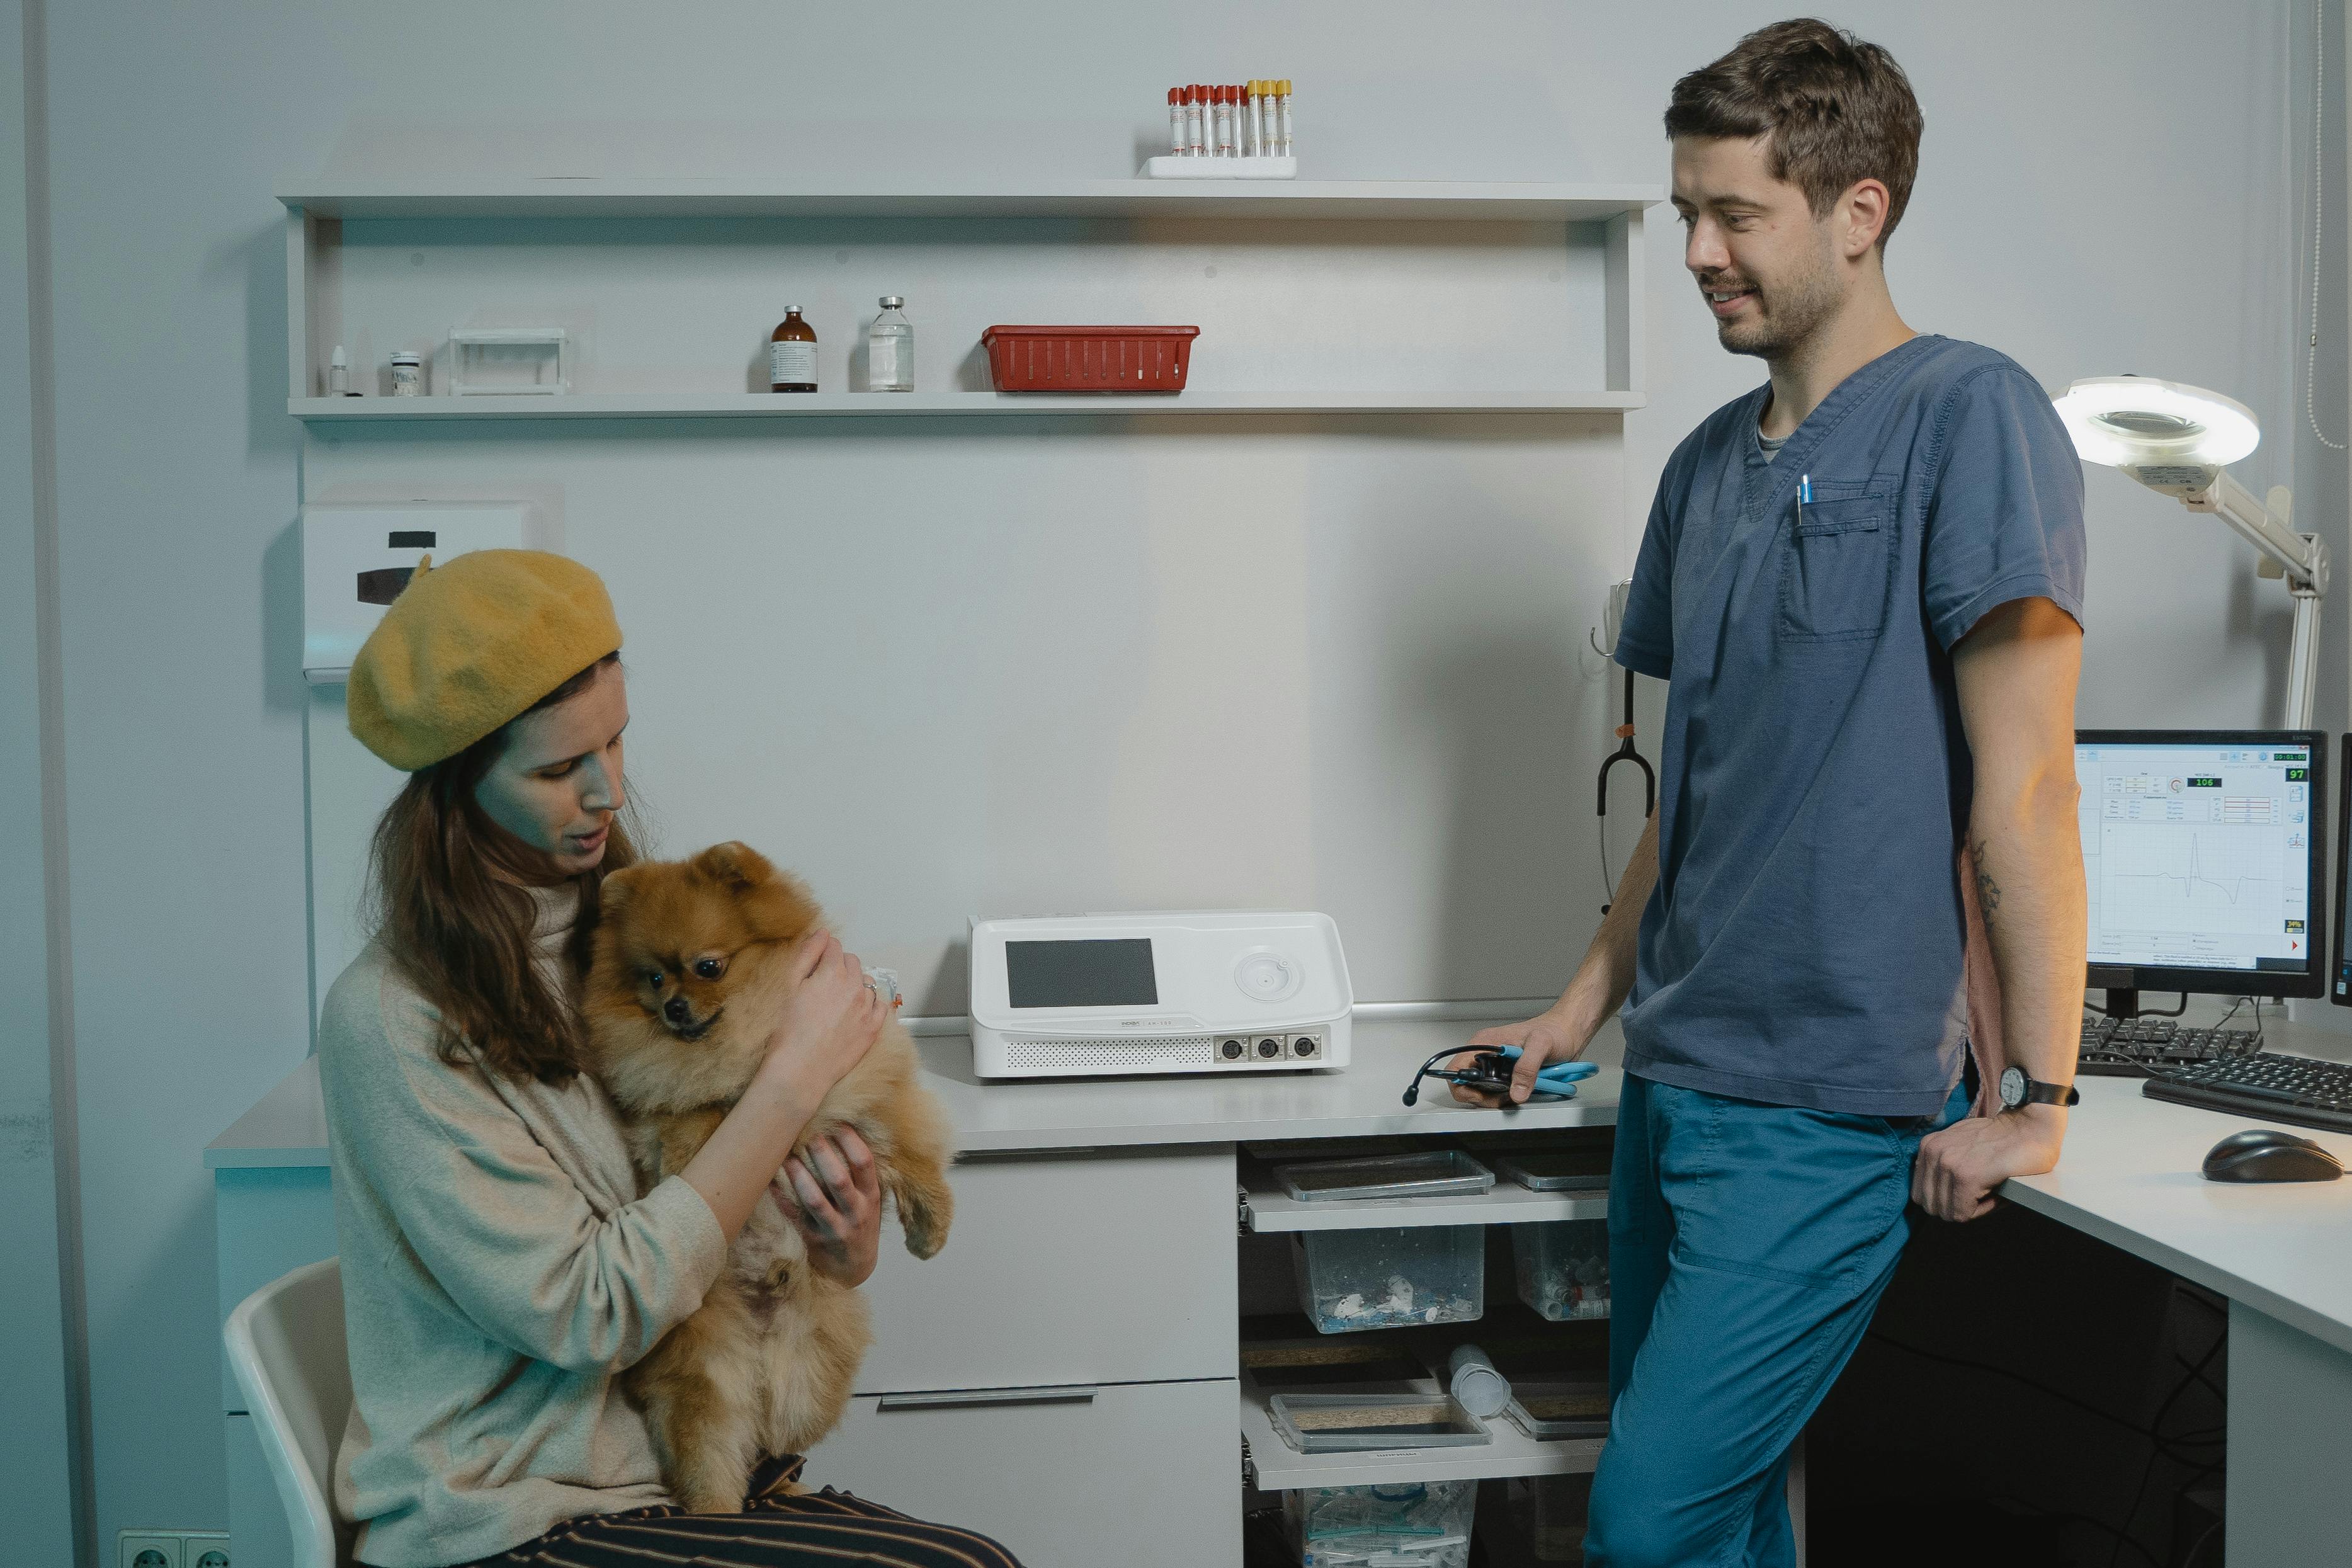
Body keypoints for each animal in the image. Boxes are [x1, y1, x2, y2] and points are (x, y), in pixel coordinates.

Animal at [581, 841, 955, 1514]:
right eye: (653, 977)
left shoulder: (858, 1094)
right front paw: (689, 1151)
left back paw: (793, 1484)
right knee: (715, 1459)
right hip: (705, 1379)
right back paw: (720, 1513)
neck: (750, 1040)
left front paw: (930, 1228)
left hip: (809, 1373)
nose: (673, 1007)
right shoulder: (662, 1101)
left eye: (707, 967)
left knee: (776, 1442)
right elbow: (692, 1112)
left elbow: (911, 1149)